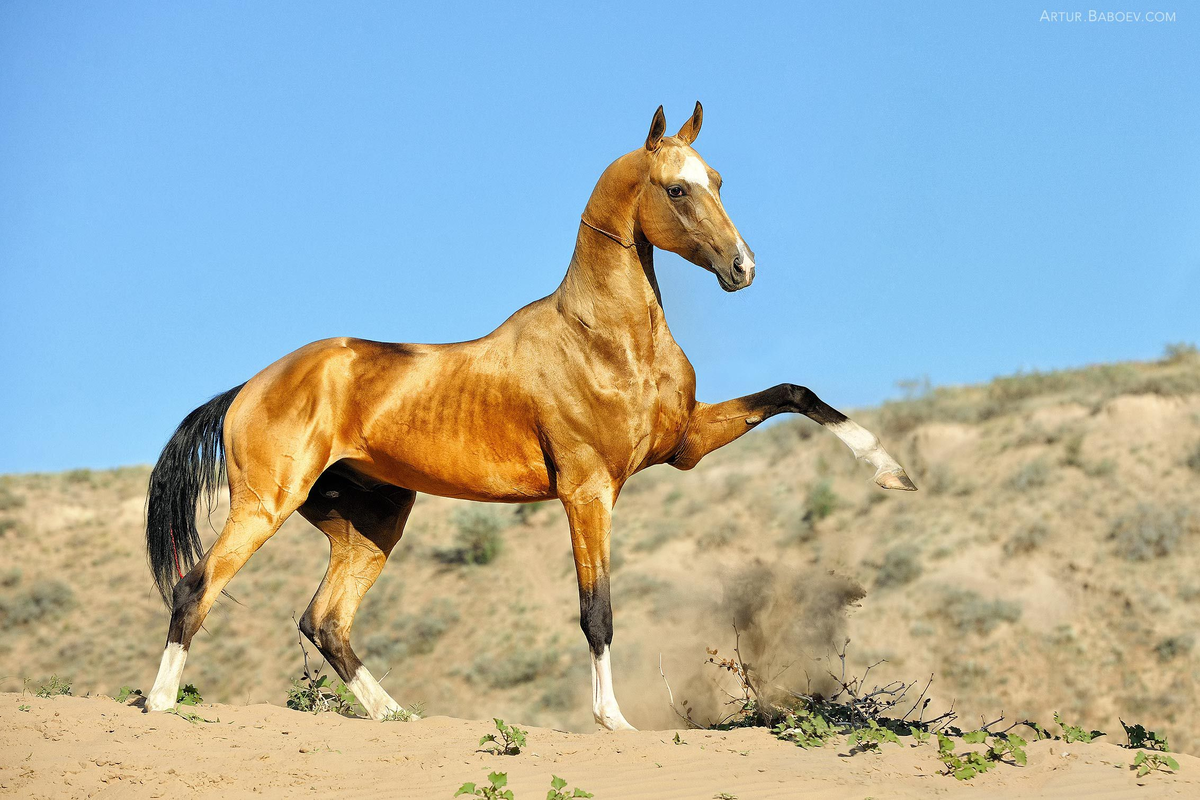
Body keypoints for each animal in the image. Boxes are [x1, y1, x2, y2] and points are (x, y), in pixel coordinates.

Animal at [145, 104, 912, 734]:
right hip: (266, 504)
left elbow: (794, 393)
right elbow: (597, 609)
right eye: (676, 189)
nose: (742, 268)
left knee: (325, 620)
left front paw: (891, 473)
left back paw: (397, 714)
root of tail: (247, 388)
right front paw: (612, 720)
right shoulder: (588, 492)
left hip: (370, 523)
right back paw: (160, 704)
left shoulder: (684, 443)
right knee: (197, 588)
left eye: (717, 179)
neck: (605, 340)